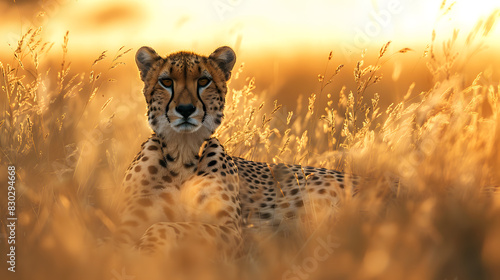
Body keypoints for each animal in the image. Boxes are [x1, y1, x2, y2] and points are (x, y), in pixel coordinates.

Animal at [116, 44, 360, 258]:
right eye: (166, 81)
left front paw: (147, 248)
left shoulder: (233, 232)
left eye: (204, 81)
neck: (182, 154)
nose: (185, 109)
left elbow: (167, 226)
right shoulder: (126, 226)